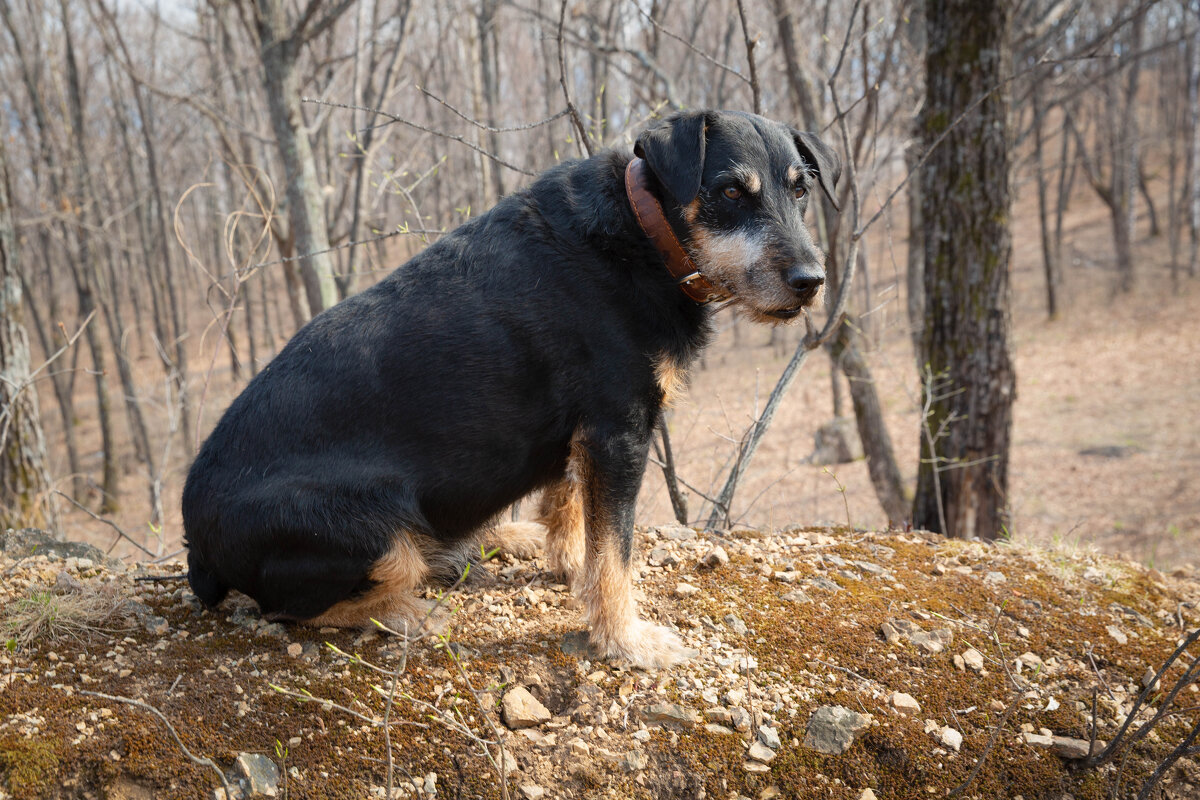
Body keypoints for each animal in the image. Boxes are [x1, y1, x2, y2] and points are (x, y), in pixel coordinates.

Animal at [182, 107, 840, 671]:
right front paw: (625, 639)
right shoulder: (619, 431)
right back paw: (411, 611)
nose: (812, 281)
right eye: (730, 192)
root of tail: (199, 547)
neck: (642, 230)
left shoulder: (588, 436)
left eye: (800, 190)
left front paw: (568, 563)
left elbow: (572, 506)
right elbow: (615, 552)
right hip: (374, 528)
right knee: (296, 607)